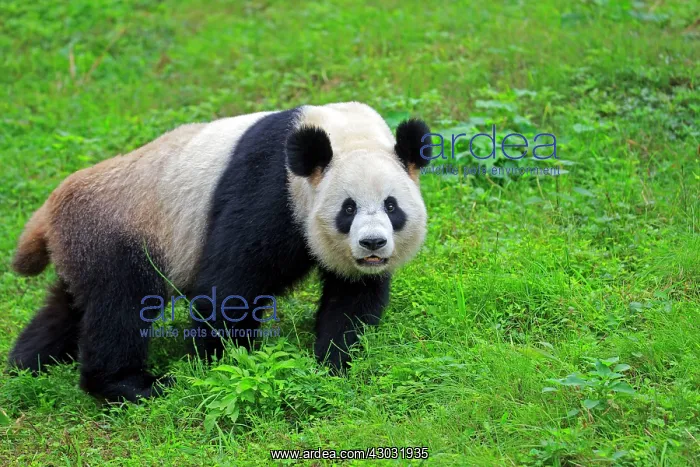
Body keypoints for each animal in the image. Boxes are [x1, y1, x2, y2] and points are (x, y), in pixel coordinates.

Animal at [9, 102, 432, 402]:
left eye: (391, 206)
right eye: (348, 208)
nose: (372, 244)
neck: (343, 132)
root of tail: (48, 211)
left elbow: (351, 297)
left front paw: (335, 361)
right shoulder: (268, 188)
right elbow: (230, 287)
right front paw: (229, 363)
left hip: (83, 245)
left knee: (67, 307)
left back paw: (25, 366)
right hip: (121, 231)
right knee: (121, 306)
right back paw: (133, 385)